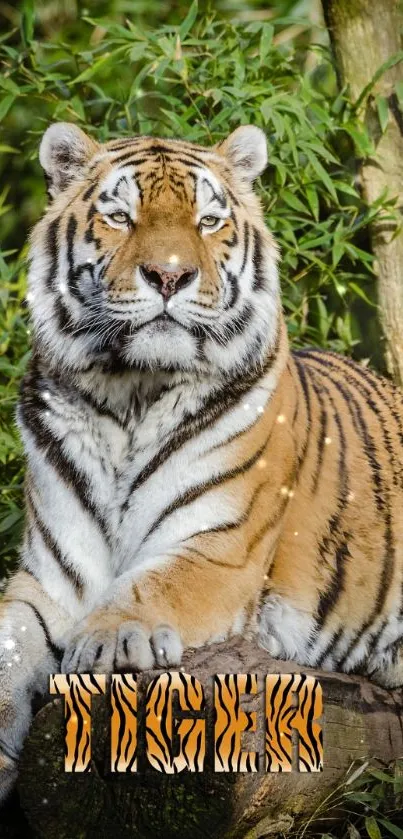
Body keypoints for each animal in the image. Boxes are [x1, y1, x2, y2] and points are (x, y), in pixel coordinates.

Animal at [0, 120, 403, 800]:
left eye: (208, 221)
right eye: (120, 216)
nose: (169, 276)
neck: (129, 396)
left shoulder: (219, 550)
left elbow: (150, 585)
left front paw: (106, 641)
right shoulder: (51, 578)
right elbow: (8, 642)